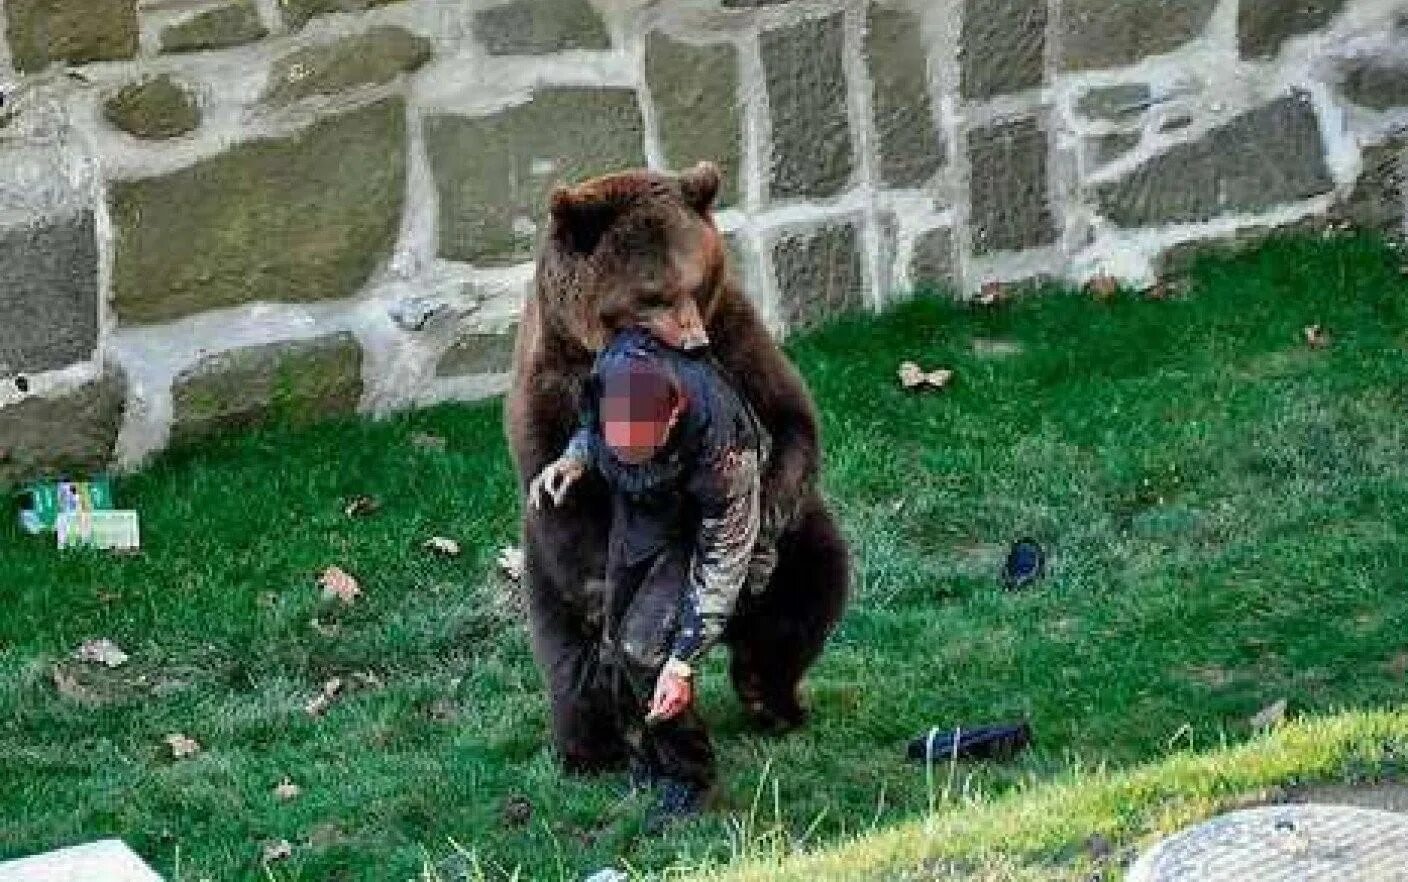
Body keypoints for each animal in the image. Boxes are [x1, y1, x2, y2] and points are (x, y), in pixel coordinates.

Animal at [512, 161, 850, 772]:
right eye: (651, 294)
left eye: (694, 282)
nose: (693, 342)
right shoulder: (551, 379)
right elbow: (559, 488)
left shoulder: (734, 330)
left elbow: (791, 412)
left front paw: (764, 528)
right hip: (546, 581)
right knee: (572, 664)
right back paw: (592, 747)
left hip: (797, 551)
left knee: (810, 589)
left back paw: (768, 696)